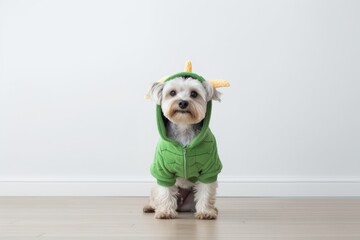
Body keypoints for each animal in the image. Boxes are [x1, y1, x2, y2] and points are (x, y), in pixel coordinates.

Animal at [143, 61, 228, 219]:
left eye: (194, 94)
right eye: (172, 93)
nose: (182, 103)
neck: (184, 127)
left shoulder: (209, 169)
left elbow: (206, 191)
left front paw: (206, 212)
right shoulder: (162, 170)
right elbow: (165, 192)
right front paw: (165, 211)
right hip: (155, 187)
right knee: (155, 196)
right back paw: (150, 207)